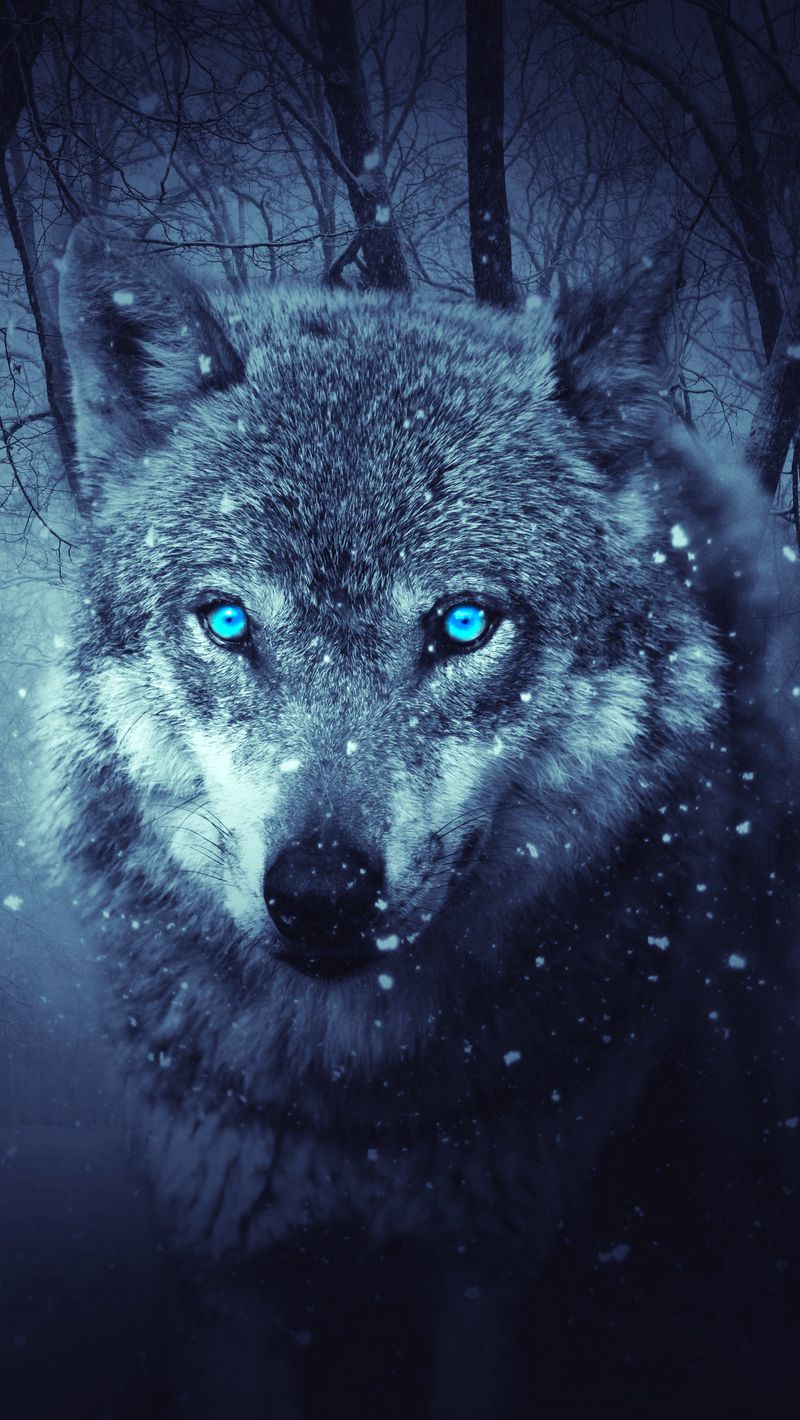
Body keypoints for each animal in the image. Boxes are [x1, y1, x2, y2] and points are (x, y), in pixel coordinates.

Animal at [42, 220, 799, 1418]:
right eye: (227, 621)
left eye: (462, 623)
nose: (320, 893)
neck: (358, 1107)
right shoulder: (228, 1267)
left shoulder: (494, 1268)